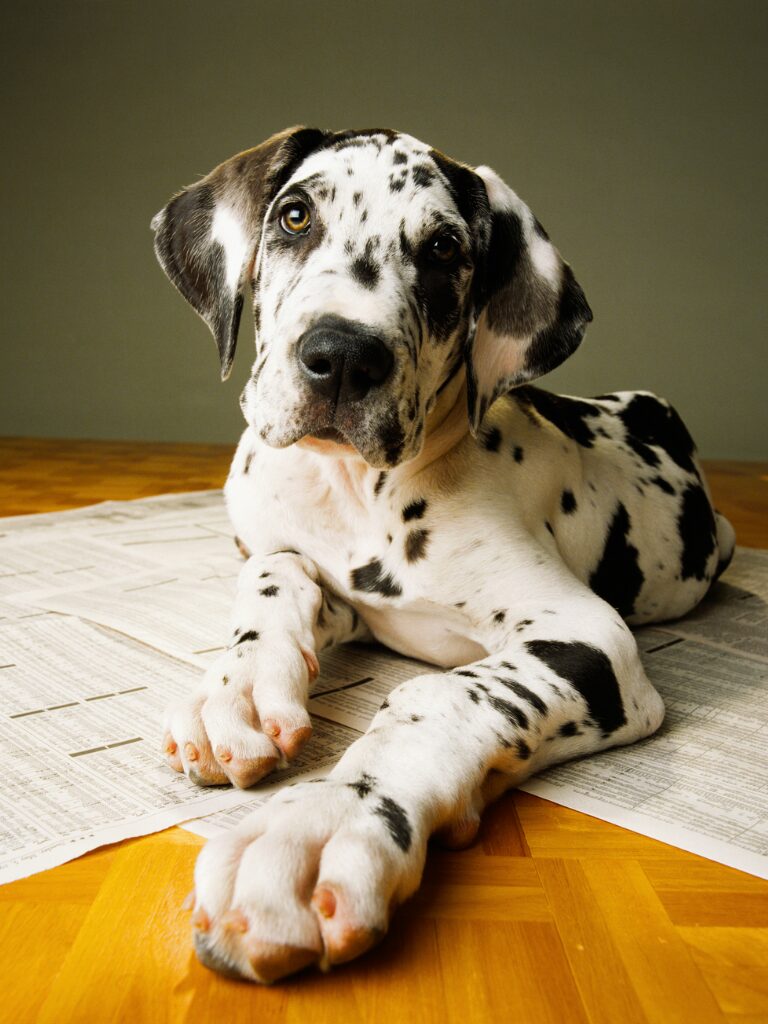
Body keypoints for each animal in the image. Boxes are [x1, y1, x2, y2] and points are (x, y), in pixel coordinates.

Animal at [153, 128, 737, 983]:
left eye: (442, 249)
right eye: (294, 216)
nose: (342, 356)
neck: (354, 490)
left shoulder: (589, 635)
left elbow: (435, 697)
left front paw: (326, 821)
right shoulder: (335, 588)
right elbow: (275, 571)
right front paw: (237, 690)